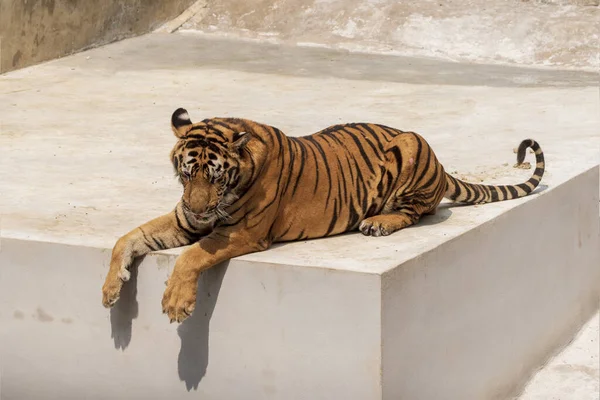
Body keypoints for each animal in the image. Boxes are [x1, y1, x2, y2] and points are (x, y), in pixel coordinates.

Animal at [102, 108, 544, 324]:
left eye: (214, 176)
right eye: (186, 173)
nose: (197, 209)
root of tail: (441, 165)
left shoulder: (240, 233)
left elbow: (191, 257)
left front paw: (176, 304)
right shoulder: (183, 221)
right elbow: (127, 237)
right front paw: (110, 289)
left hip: (411, 145)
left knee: (417, 211)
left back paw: (378, 222)